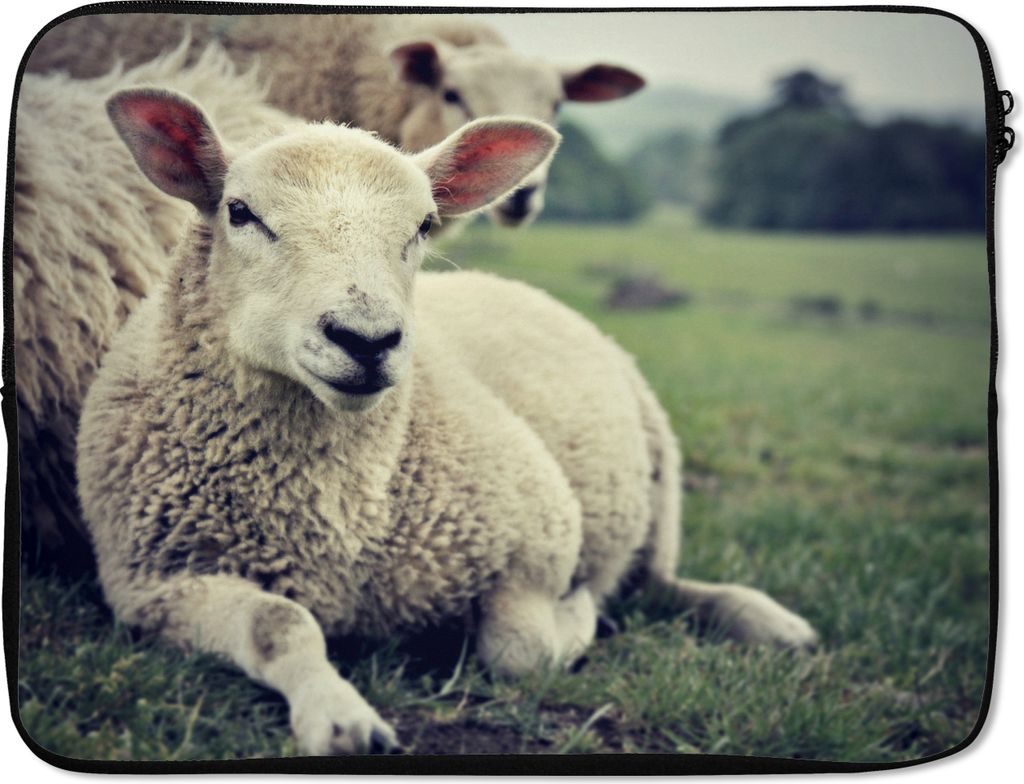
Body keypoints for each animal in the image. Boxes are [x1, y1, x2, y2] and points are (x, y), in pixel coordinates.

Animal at [77, 87, 819, 755]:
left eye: (425, 226)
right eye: (239, 211)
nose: (367, 338)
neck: (332, 518)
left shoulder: (538, 539)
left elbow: (523, 650)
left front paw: (578, 614)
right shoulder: (153, 584)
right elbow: (279, 626)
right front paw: (340, 718)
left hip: (660, 488)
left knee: (663, 584)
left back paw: (774, 623)